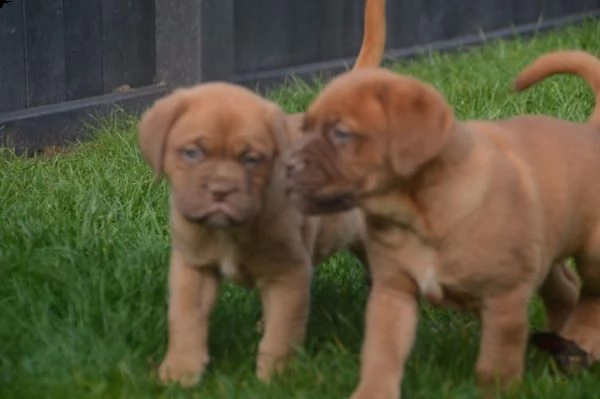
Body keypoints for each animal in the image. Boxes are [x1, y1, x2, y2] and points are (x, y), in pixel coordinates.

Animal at [138, 0, 386, 388]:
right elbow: (185, 321)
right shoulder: (192, 268)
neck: (229, 233)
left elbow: (282, 332)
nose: (220, 190)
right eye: (192, 153)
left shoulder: (289, 274)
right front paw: (180, 371)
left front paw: (276, 379)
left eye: (251, 159)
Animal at [284, 51, 600, 398]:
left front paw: (496, 391)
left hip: (590, 254)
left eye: (341, 133)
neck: (420, 214)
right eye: (305, 128)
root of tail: (589, 132)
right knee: (565, 290)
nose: (286, 165)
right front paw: (373, 392)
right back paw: (561, 347)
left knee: (592, 295)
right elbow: (381, 353)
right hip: (542, 250)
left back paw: (581, 340)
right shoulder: (393, 293)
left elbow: (495, 363)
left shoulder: (504, 298)